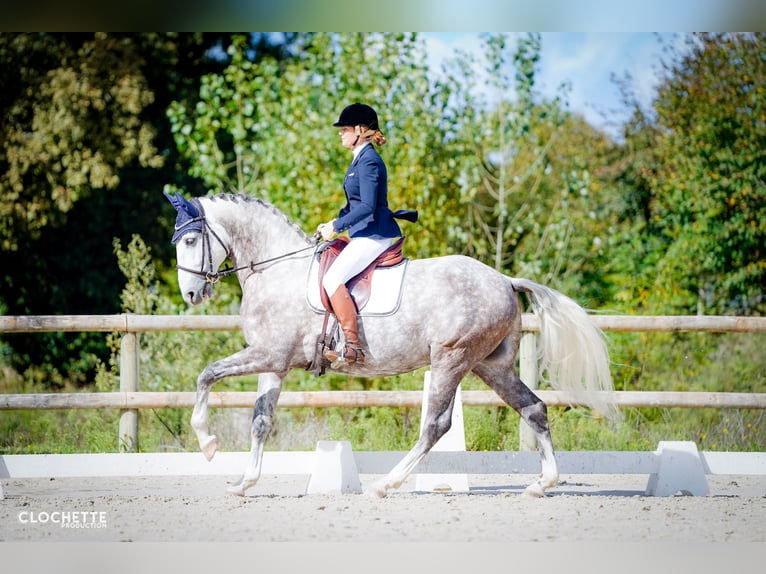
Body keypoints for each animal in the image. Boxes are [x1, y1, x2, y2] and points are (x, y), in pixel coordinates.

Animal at [165, 192, 620, 500]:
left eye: (189, 241)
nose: (190, 294)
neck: (276, 270)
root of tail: (505, 280)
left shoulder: (267, 355)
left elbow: (206, 375)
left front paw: (207, 443)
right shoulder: (274, 364)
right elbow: (260, 420)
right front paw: (244, 482)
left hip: (451, 360)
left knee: (436, 425)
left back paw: (386, 484)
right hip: (492, 367)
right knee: (534, 408)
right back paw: (542, 484)